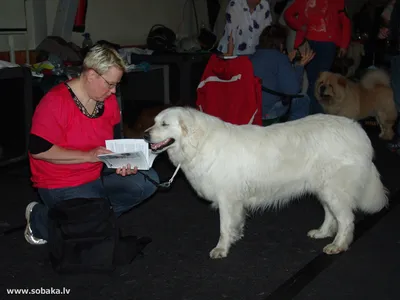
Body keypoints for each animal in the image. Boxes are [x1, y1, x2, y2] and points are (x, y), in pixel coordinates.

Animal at [143, 106, 388, 258]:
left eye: (164, 124)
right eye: (154, 122)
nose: (145, 136)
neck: (198, 142)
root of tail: (358, 131)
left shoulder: (227, 198)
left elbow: (224, 227)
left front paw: (221, 249)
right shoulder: (235, 202)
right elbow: (235, 224)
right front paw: (237, 235)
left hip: (333, 188)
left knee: (346, 219)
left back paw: (338, 245)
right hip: (323, 188)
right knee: (331, 214)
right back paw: (322, 232)